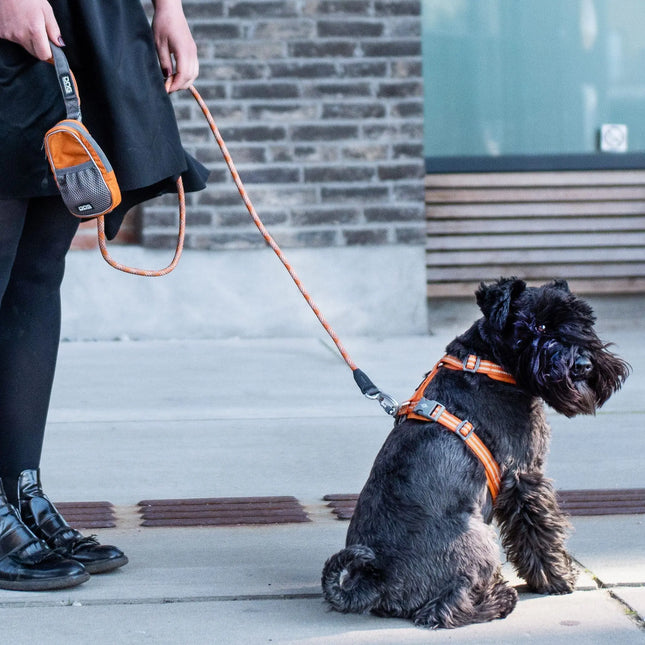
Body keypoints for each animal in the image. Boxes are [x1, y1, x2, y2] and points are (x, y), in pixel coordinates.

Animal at [322, 278, 628, 628]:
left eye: (583, 322)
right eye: (539, 325)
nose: (584, 366)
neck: (489, 361)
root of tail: (376, 578)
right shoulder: (525, 477)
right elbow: (539, 531)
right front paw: (557, 580)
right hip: (477, 536)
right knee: (441, 609)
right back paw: (498, 600)